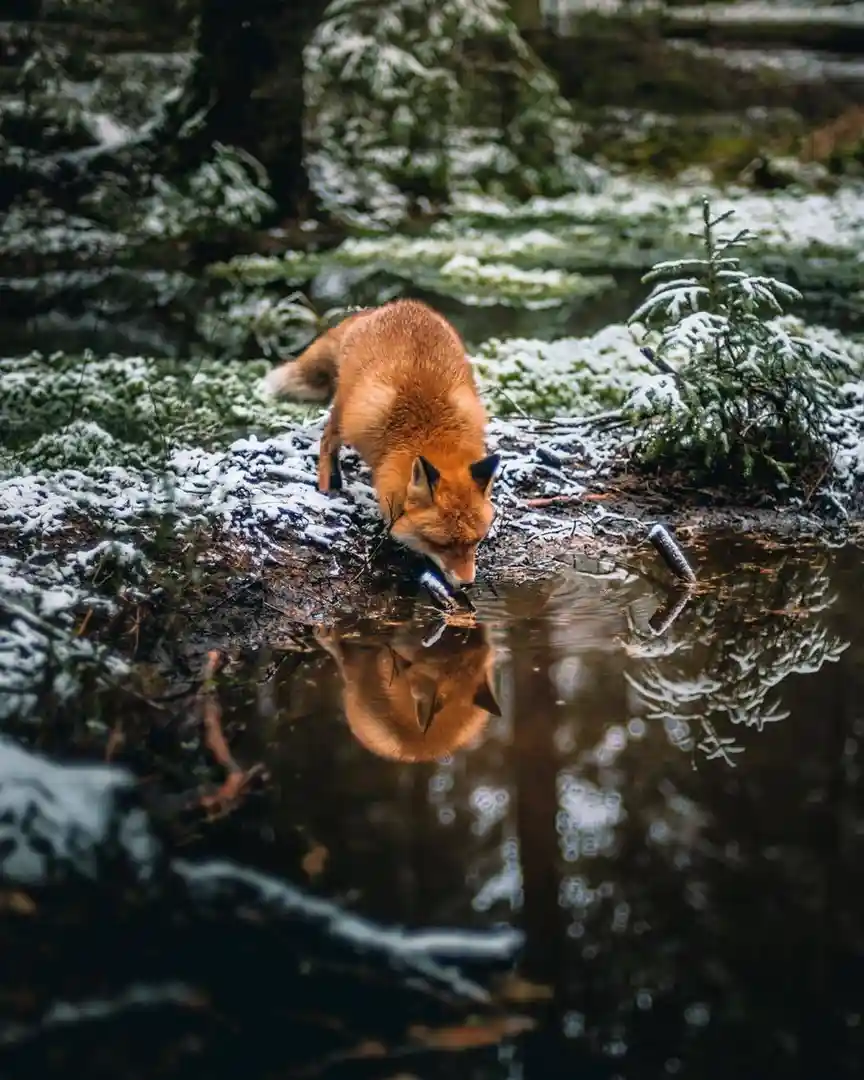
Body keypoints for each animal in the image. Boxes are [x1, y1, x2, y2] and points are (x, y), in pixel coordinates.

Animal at [262, 299, 500, 588]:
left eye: (476, 541)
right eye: (441, 544)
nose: (467, 584)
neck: (434, 435)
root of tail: (388, 306)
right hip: (346, 409)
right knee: (327, 441)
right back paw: (327, 487)